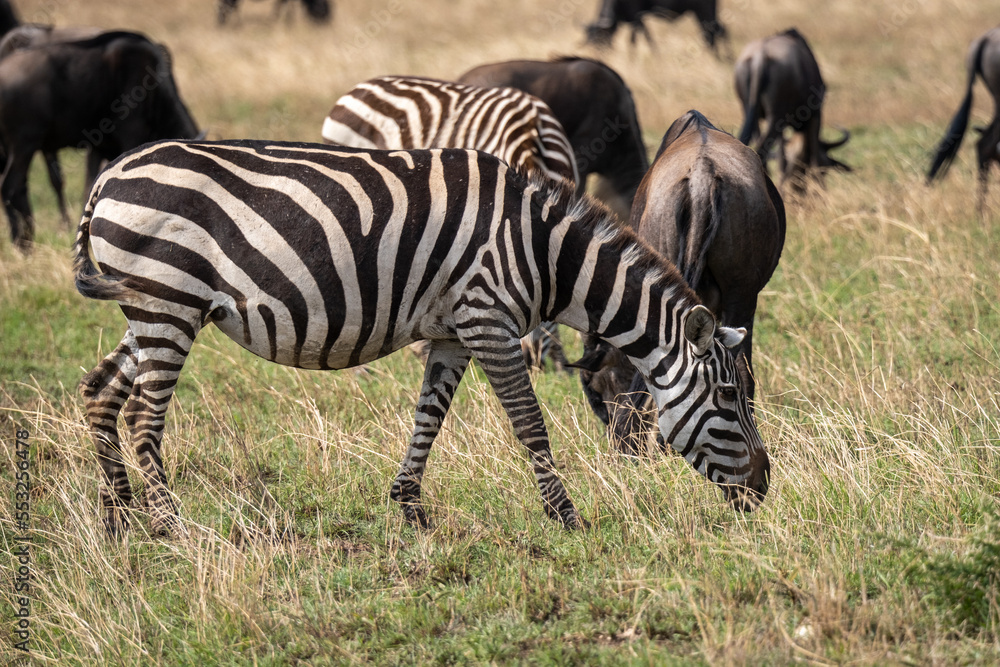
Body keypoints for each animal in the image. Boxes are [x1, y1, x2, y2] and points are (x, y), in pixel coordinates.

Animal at [75, 139, 770, 536]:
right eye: (730, 401)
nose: (763, 489)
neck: (547, 255)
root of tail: (109, 176)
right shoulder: (489, 321)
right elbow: (529, 423)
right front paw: (567, 517)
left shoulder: (453, 333)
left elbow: (428, 418)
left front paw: (409, 509)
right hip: (168, 303)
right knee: (143, 415)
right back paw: (170, 525)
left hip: (151, 308)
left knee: (100, 392)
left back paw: (118, 517)